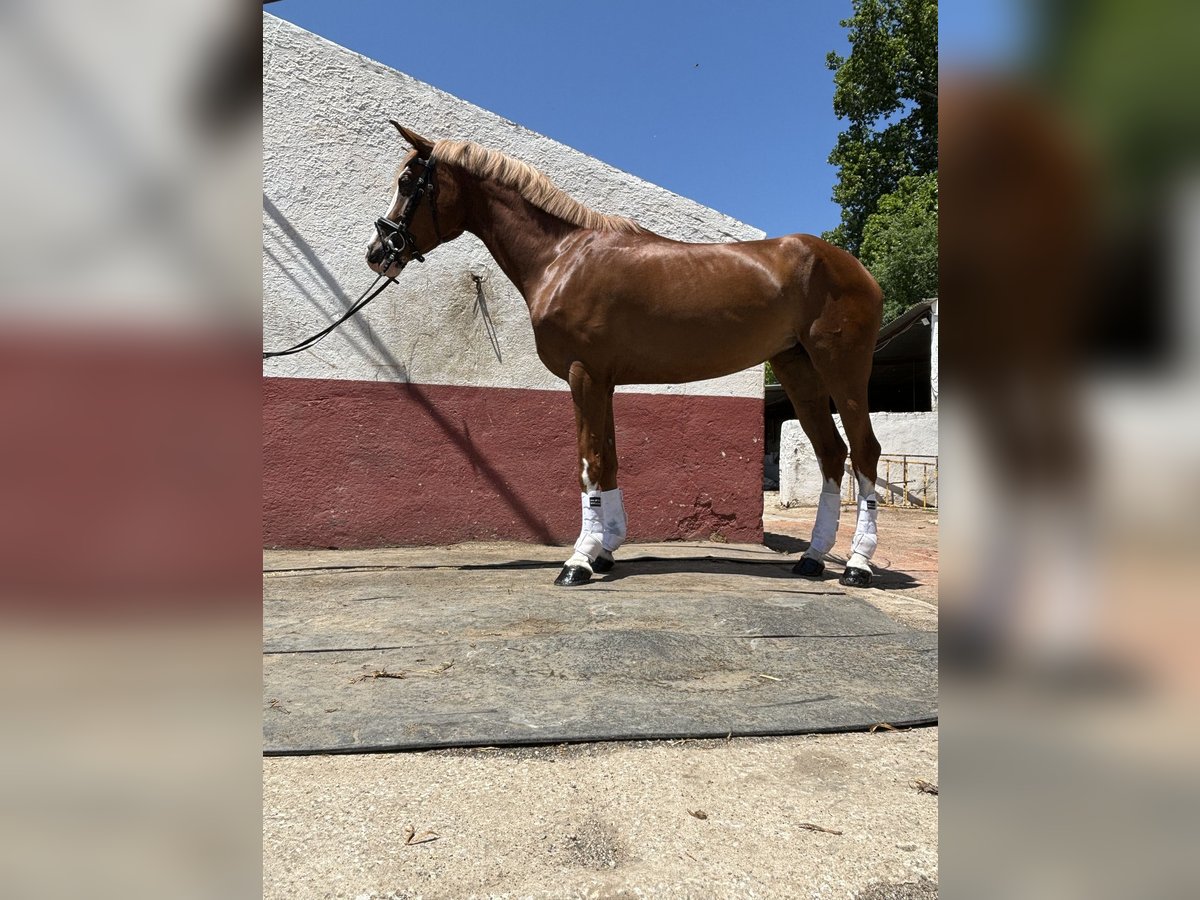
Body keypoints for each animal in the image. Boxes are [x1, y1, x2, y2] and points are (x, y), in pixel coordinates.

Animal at [364, 125, 883, 592]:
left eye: (408, 183)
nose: (378, 251)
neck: (562, 257)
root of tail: (855, 267)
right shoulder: (604, 380)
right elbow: (609, 460)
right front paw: (605, 549)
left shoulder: (584, 376)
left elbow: (589, 462)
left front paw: (578, 560)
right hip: (798, 369)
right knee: (831, 454)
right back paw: (813, 557)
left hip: (843, 369)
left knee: (864, 452)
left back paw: (857, 565)